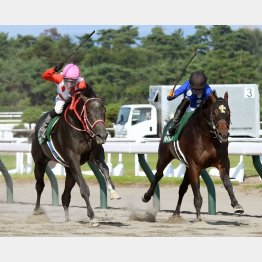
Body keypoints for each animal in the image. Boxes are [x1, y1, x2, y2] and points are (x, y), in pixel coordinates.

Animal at [30, 87, 119, 225]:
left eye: (104, 110)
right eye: (88, 111)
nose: (102, 135)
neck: (81, 130)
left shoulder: (95, 154)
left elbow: (106, 169)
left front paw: (113, 191)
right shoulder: (73, 159)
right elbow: (84, 188)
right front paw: (92, 217)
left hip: (69, 169)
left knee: (65, 195)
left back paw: (67, 217)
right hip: (40, 162)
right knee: (40, 186)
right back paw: (37, 210)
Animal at [143, 90, 244, 219]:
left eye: (228, 113)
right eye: (214, 112)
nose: (223, 134)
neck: (207, 137)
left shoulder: (222, 163)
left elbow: (227, 183)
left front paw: (236, 205)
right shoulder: (195, 166)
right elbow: (197, 192)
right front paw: (198, 217)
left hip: (186, 166)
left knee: (182, 188)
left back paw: (176, 213)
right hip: (164, 156)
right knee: (158, 175)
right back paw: (147, 196)